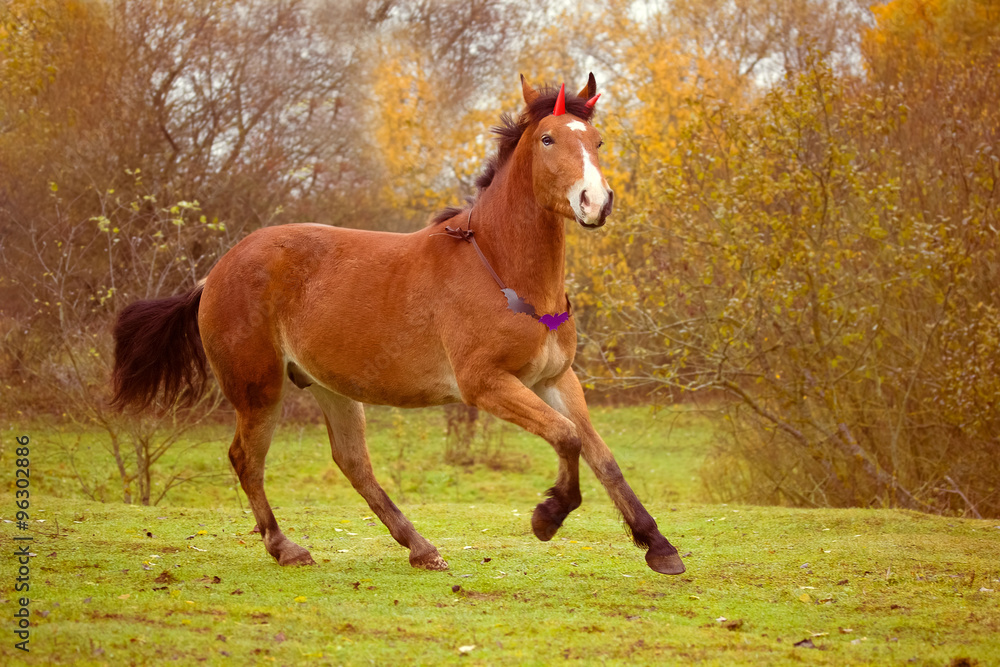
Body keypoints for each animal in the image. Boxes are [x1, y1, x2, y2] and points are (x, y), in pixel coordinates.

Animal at [111, 72, 688, 576]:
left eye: (598, 140)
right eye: (548, 138)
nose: (597, 202)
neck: (504, 271)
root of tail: (214, 272)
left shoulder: (556, 379)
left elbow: (602, 456)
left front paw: (658, 545)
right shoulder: (487, 384)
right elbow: (568, 440)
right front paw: (547, 516)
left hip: (332, 388)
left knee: (352, 463)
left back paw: (420, 547)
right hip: (260, 389)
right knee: (245, 460)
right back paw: (285, 546)